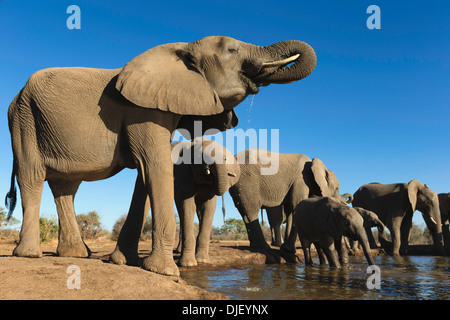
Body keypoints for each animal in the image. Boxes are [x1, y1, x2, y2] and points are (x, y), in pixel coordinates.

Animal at [5, 34, 318, 276]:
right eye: (231, 50)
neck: (183, 49)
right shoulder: (143, 110)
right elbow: (155, 166)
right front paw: (165, 271)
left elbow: (144, 177)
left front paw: (124, 261)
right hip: (23, 119)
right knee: (32, 176)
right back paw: (30, 254)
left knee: (66, 186)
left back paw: (77, 255)